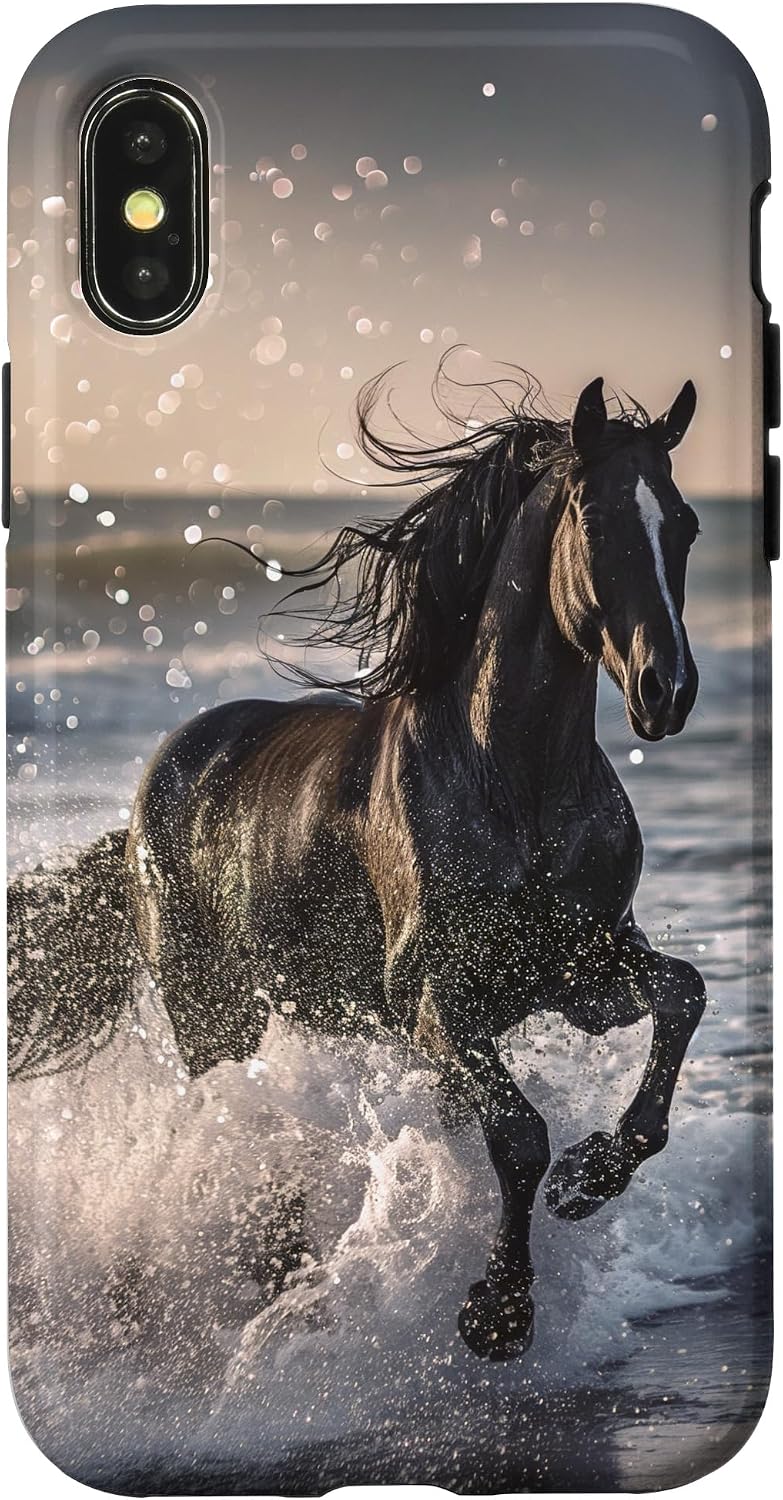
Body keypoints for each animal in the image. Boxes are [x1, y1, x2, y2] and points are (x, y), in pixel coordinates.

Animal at [9, 367, 706, 1361]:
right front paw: (497, 1312)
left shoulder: (582, 972)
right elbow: (518, 1133)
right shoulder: (433, 998)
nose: (667, 691)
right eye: (597, 521)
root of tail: (145, 803)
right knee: (238, 1128)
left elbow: (681, 994)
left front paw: (588, 1179)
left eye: (682, 523)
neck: (514, 781)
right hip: (209, 1012)